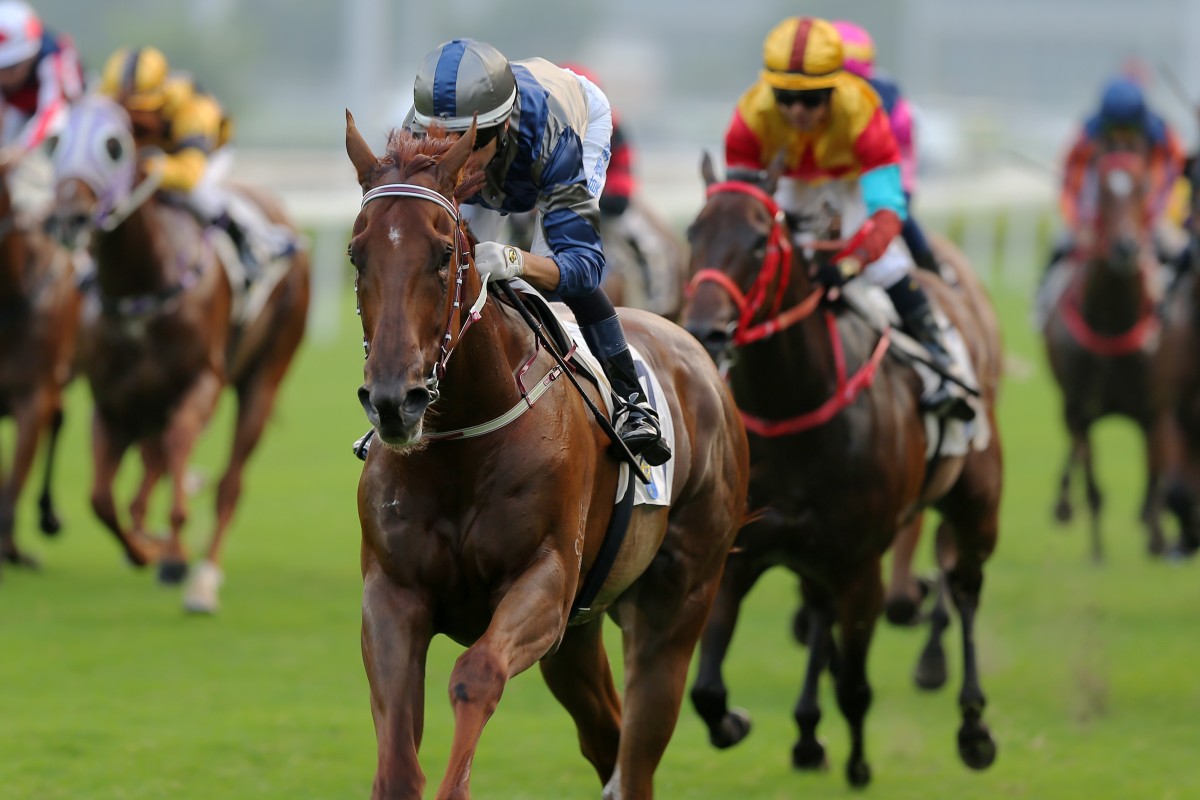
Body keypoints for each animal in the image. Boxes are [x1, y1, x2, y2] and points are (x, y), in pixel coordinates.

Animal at [343, 113, 744, 800]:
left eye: (445, 254)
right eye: (355, 252)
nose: (396, 400)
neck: (463, 447)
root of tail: (698, 358)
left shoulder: (547, 582)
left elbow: (476, 673)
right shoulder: (394, 594)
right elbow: (396, 764)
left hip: (678, 600)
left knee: (637, 751)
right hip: (579, 637)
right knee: (607, 737)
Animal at [676, 158, 1003, 786]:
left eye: (759, 241)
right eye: (692, 231)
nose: (707, 330)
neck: (793, 406)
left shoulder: (859, 565)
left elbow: (854, 684)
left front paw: (857, 763)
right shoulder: (739, 555)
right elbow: (706, 689)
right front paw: (738, 722)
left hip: (976, 504)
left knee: (967, 586)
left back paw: (973, 723)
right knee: (820, 608)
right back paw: (806, 732)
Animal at [1046, 151, 1166, 563]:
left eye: (1142, 188)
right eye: (1100, 192)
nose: (1125, 248)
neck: (1113, 320)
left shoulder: (1153, 411)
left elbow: (1154, 479)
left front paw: (1157, 542)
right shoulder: (1082, 408)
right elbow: (1094, 485)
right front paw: (1097, 551)